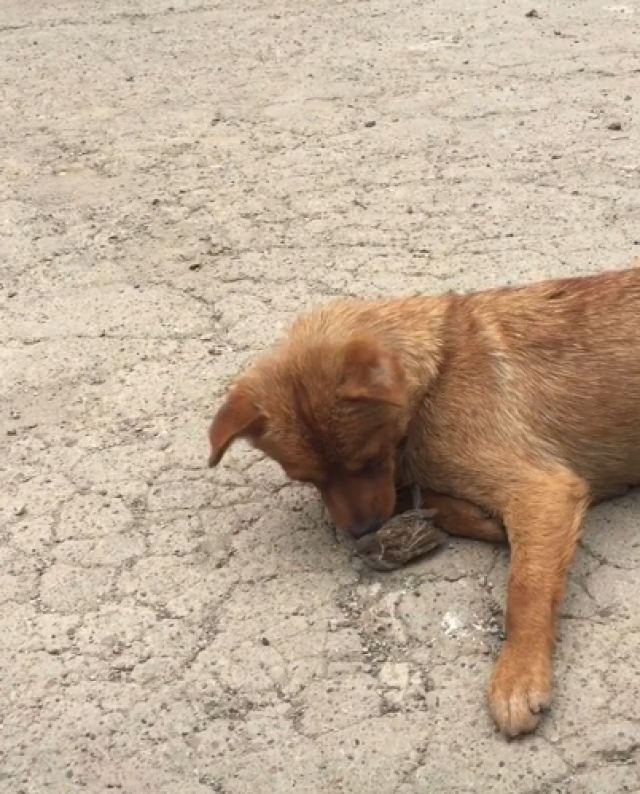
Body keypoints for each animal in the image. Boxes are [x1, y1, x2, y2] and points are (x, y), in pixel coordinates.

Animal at [209, 264, 640, 736]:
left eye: (369, 456)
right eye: (307, 479)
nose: (362, 533)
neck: (440, 370)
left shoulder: (543, 490)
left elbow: (524, 590)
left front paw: (520, 673)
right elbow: (409, 497)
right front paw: (468, 517)